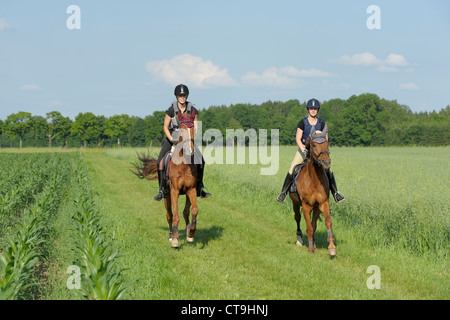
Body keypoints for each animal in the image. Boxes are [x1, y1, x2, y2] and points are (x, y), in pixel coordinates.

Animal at [132, 121, 199, 249]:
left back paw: (188, 232)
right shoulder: (174, 191)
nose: (190, 150)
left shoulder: (191, 189)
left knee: (185, 212)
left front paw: (191, 232)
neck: (183, 164)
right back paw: (171, 234)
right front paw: (175, 240)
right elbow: (175, 216)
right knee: (169, 215)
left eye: (194, 129)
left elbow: (193, 211)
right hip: (166, 196)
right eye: (182, 131)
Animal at [290, 126, 336, 256]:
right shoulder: (306, 205)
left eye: (326, 143)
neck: (314, 181)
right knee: (298, 218)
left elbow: (327, 222)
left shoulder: (323, 203)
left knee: (313, 223)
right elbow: (309, 227)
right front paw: (310, 248)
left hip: (316, 208)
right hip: (295, 204)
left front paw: (331, 248)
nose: (326, 162)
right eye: (314, 145)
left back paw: (314, 242)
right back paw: (300, 240)